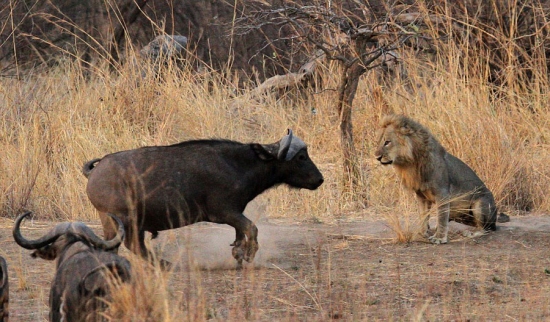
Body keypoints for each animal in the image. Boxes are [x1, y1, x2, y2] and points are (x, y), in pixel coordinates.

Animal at [83, 130, 326, 268]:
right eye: (301, 157)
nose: (319, 179)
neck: (240, 164)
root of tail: (97, 170)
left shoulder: (235, 214)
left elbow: (241, 232)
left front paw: (238, 252)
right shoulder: (225, 212)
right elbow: (252, 228)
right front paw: (248, 254)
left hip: (117, 222)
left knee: (119, 246)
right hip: (126, 220)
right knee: (131, 245)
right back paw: (165, 264)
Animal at [376, 114, 512, 243]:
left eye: (387, 142)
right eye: (379, 142)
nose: (377, 157)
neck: (411, 162)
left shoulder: (442, 193)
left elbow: (441, 217)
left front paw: (439, 238)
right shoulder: (421, 195)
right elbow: (423, 215)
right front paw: (422, 233)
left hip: (481, 202)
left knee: (486, 229)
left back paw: (470, 233)